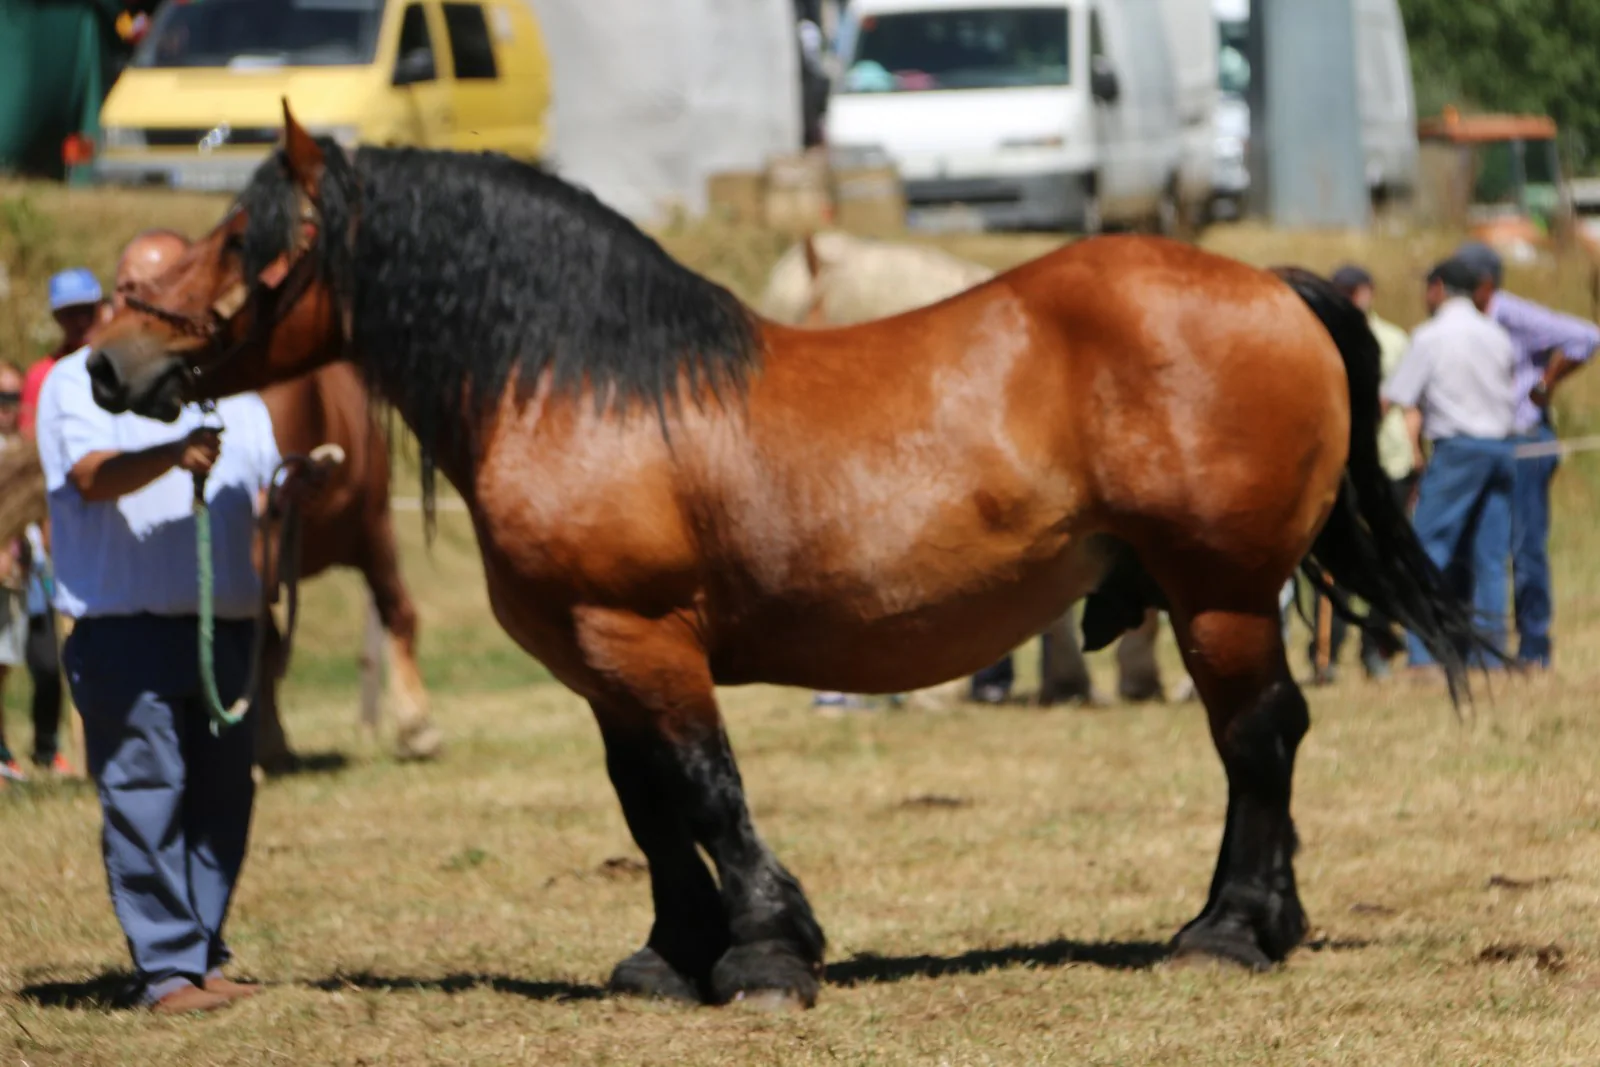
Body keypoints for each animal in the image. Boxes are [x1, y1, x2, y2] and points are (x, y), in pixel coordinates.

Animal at [87, 110, 1478, 1011]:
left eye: (242, 239)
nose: (111, 361)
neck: (588, 388)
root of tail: (1273, 286)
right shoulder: (601, 658)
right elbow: (646, 801)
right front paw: (669, 954)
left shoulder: (641, 632)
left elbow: (707, 788)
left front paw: (764, 952)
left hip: (1220, 593)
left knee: (1257, 741)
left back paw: (1228, 931)